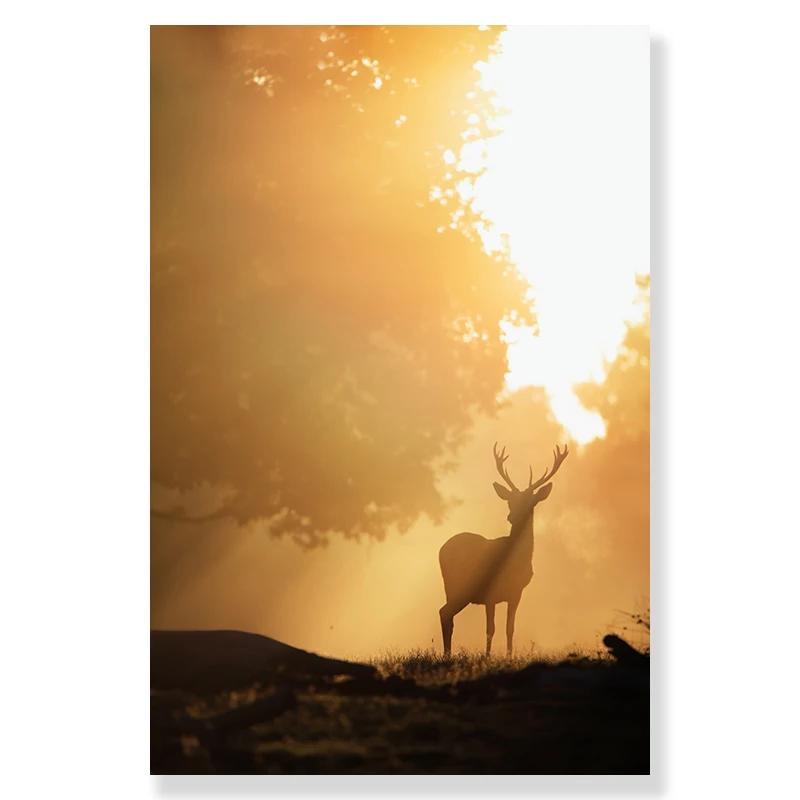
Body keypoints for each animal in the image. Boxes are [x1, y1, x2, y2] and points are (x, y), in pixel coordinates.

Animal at [438, 442, 569, 657]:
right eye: (510, 500)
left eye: (531, 502)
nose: (512, 516)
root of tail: (441, 549)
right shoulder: (490, 593)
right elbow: (490, 628)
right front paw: (487, 656)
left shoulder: (516, 593)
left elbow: (510, 628)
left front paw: (509, 656)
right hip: (458, 585)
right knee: (444, 612)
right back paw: (447, 654)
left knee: (446, 613)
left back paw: (447, 654)